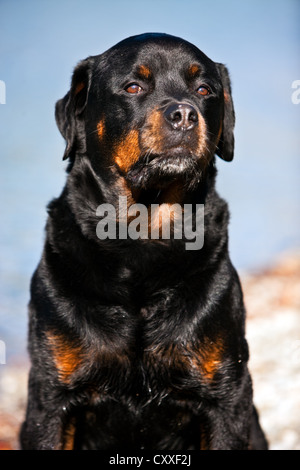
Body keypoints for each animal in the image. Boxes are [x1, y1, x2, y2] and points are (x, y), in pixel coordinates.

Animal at [21, 33, 268, 452]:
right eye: (134, 87)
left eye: (204, 90)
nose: (184, 114)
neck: (141, 244)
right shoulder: (50, 400)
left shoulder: (225, 398)